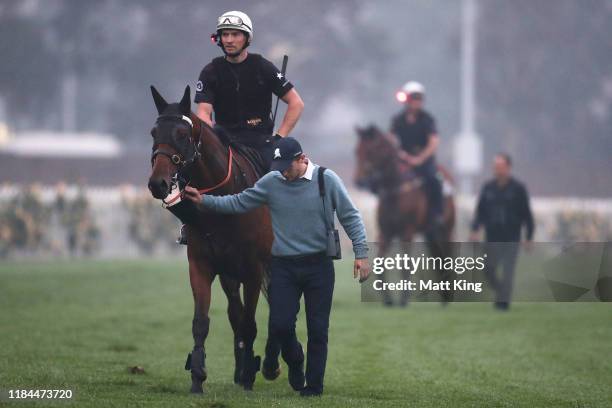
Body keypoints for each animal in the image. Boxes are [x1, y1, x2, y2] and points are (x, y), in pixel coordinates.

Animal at [146, 85, 272, 392]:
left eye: (182, 133)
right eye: (154, 132)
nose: (158, 183)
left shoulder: (254, 269)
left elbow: (251, 322)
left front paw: (250, 375)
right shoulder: (201, 265)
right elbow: (202, 322)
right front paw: (198, 375)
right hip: (229, 274)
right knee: (235, 314)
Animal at [354, 126, 454, 304]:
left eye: (370, 150)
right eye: (356, 151)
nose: (360, 181)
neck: (396, 189)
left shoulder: (407, 232)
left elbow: (406, 266)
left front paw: (403, 299)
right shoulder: (386, 233)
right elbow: (380, 265)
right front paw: (388, 299)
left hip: (446, 230)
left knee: (447, 256)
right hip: (430, 233)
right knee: (438, 258)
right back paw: (444, 296)